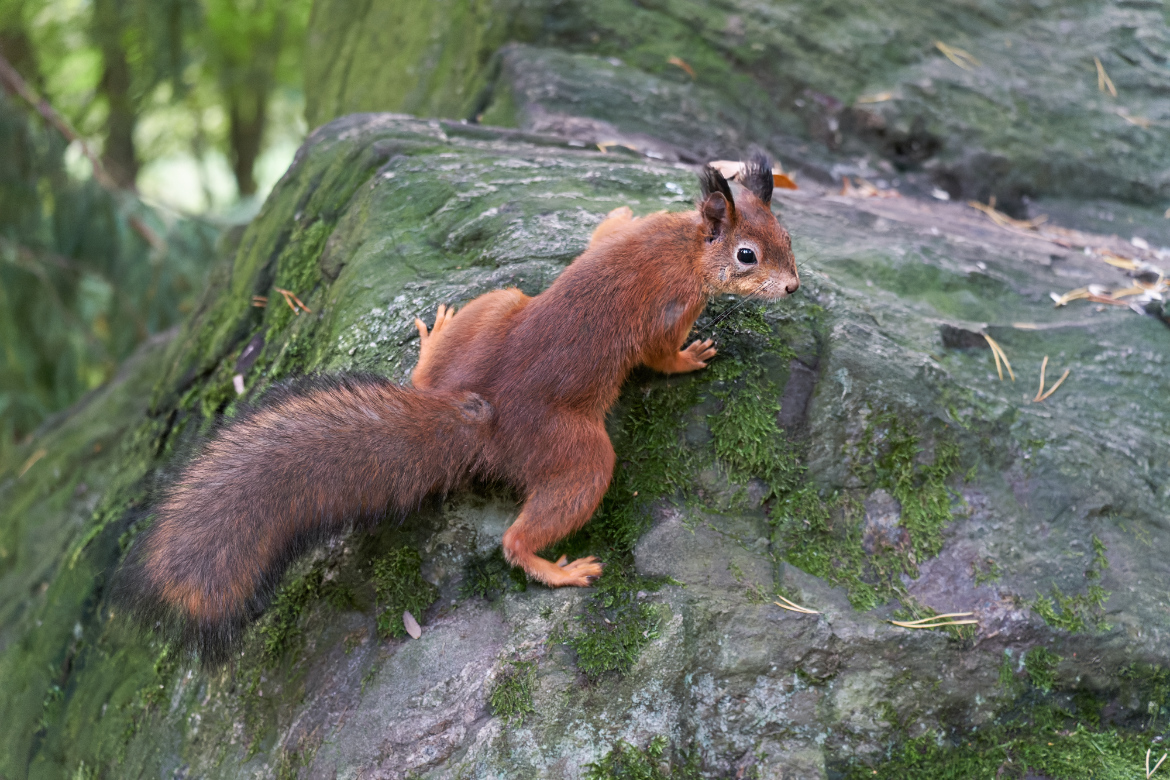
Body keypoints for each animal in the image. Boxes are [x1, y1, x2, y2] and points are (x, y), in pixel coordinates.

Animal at [116, 154, 795, 664]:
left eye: (787, 238)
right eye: (747, 256)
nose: (792, 287)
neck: (685, 243)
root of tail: (480, 413)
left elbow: (604, 234)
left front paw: (616, 210)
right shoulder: (670, 309)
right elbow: (658, 355)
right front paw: (690, 356)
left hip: (496, 307)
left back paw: (432, 340)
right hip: (576, 451)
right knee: (523, 533)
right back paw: (555, 569)